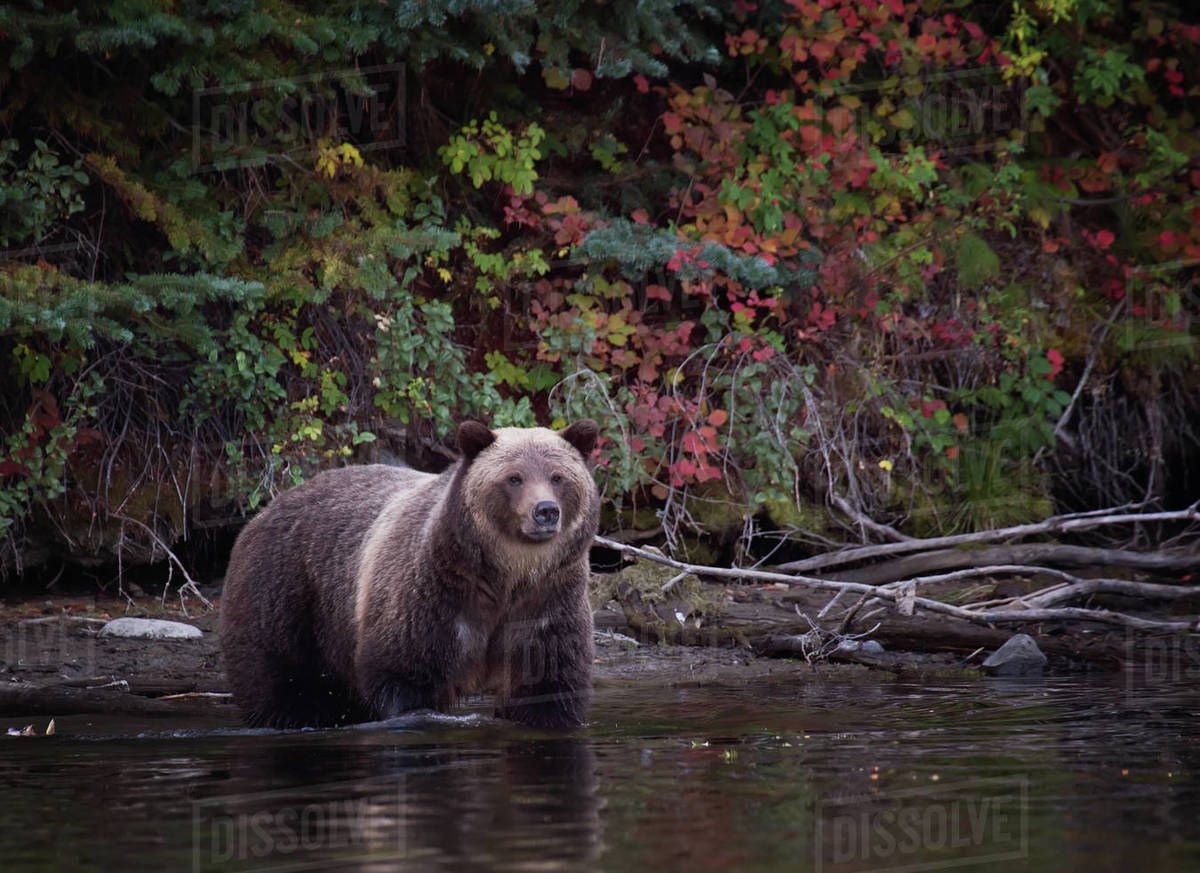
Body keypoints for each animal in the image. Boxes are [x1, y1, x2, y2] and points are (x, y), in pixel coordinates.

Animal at [219, 419, 600, 729]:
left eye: (557, 476)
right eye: (514, 477)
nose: (545, 511)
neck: (505, 575)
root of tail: (263, 511)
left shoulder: (547, 598)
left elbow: (548, 682)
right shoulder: (432, 594)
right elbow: (404, 672)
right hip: (284, 591)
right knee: (278, 678)